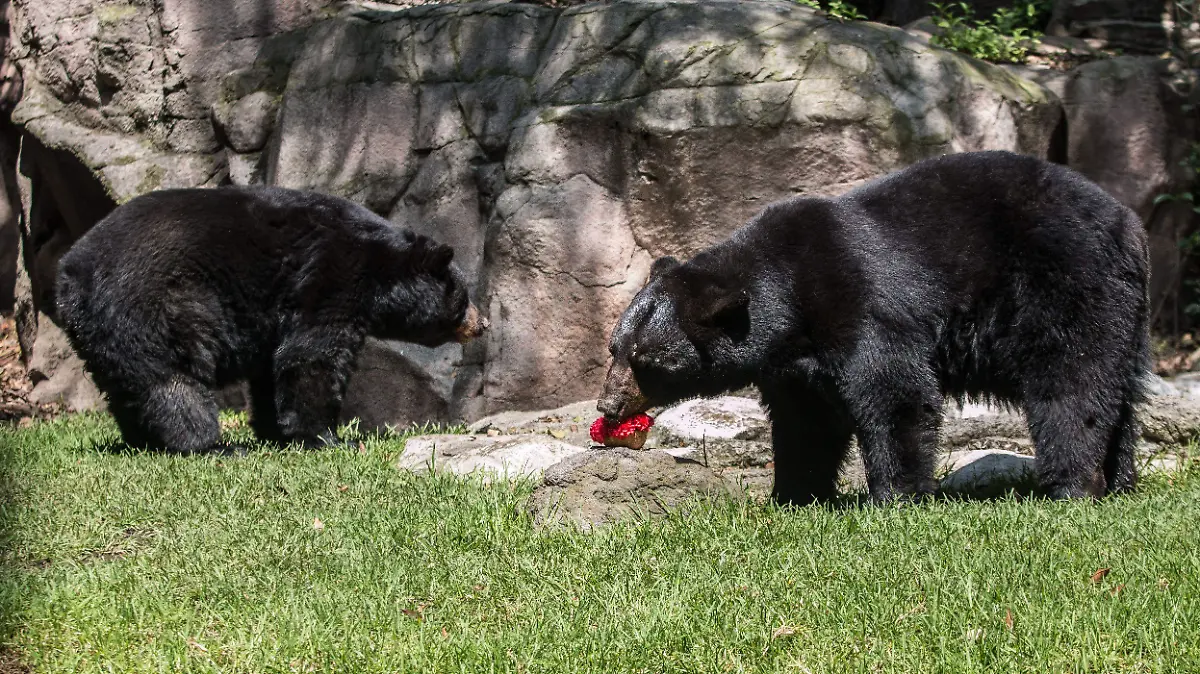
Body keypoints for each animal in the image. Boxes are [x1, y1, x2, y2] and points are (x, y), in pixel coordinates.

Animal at [54, 185, 488, 454]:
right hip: (151, 306)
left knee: (126, 386)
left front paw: (275, 430)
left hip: (100, 332)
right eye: (464, 295)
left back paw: (144, 440)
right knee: (172, 380)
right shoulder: (331, 275)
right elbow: (313, 356)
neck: (378, 264)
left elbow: (272, 365)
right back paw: (212, 445)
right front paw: (329, 438)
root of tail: (69, 276)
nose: (482, 323)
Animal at [597, 150, 1150, 505]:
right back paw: (1119, 480)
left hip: (1065, 282)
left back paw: (1073, 484)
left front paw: (895, 496)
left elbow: (893, 391)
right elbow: (806, 421)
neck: (789, 294)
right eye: (614, 349)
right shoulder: (794, 365)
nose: (607, 406)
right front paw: (793, 494)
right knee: (1118, 391)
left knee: (1072, 381)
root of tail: (1130, 223)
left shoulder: (862, 304)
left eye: (647, 360)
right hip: (1124, 311)